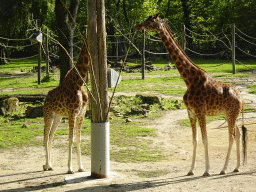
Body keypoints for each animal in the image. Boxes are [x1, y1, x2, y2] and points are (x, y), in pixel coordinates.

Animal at [43, 38, 89, 174]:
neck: (79, 82)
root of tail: (46, 97)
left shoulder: (81, 114)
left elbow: (78, 139)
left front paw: (81, 167)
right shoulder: (72, 113)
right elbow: (70, 139)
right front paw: (70, 169)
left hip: (57, 116)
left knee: (50, 136)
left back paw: (50, 164)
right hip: (48, 114)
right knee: (45, 136)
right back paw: (46, 165)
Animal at [136, 12, 248, 176]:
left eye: (151, 21)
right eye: (147, 19)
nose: (138, 25)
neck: (189, 80)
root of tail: (241, 97)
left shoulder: (200, 111)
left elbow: (205, 139)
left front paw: (207, 170)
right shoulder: (190, 112)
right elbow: (194, 140)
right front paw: (191, 170)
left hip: (231, 113)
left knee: (232, 136)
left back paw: (224, 169)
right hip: (229, 114)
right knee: (238, 134)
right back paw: (237, 167)